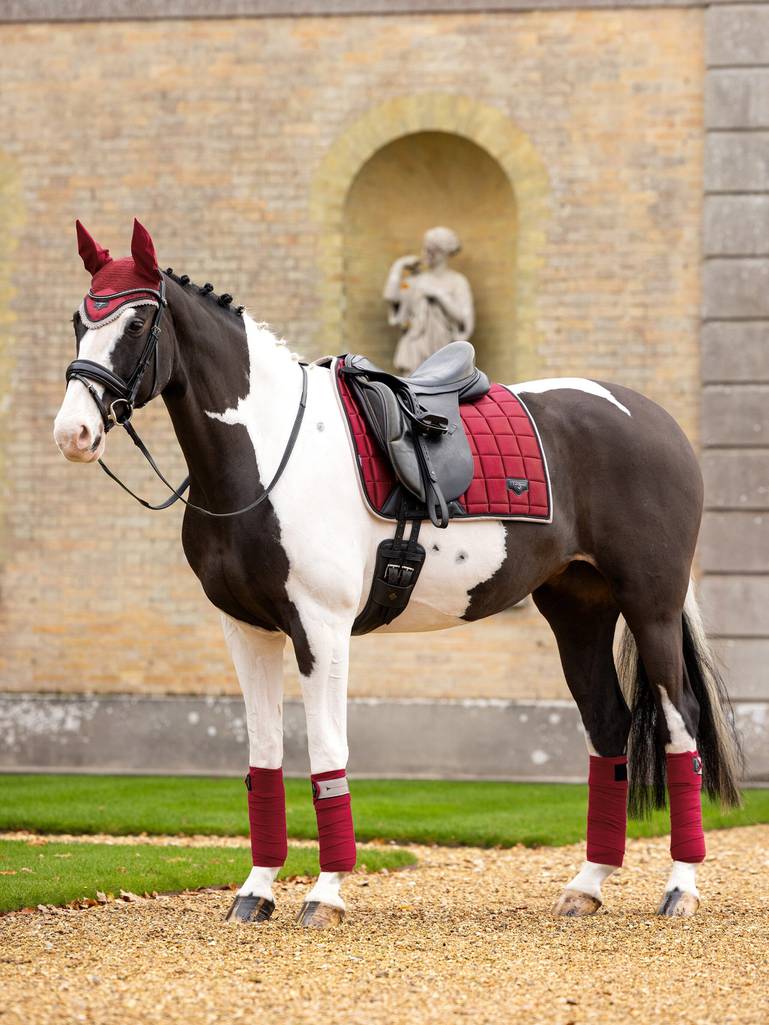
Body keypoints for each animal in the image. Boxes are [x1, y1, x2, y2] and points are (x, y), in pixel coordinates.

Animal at [53, 219, 741, 928]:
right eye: (80, 318)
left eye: (138, 322)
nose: (72, 431)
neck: (269, 453)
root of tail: (653, 419)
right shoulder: (247, 632)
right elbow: (263, 757)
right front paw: (256, 890)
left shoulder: (321, 629)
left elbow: (327, 754)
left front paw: (325, 893)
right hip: (578, 612)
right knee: (608, 725)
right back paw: (588, 884)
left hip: (651, 604)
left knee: (681, 723)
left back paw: (681, 886)